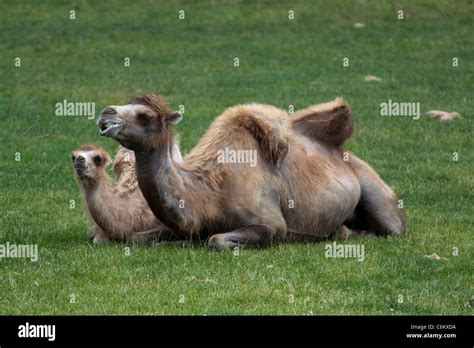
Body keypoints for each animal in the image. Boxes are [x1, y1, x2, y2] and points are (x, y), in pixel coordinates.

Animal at [97, 94, 408, 249]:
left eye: (144, 115)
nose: (106, 112)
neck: (207, 192)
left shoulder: (271, 224)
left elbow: (216, 240)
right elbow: (138, 238)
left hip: (378, 196)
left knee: (392, 230)